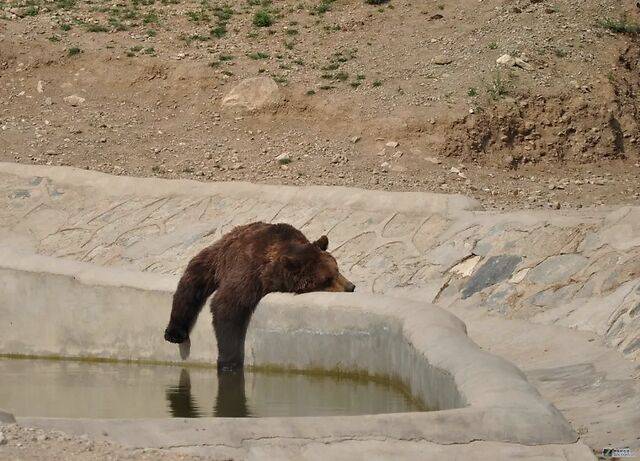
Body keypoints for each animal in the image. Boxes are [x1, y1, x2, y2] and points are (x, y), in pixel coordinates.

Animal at [165, 222, 356, 370]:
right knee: (191, 283)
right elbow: (227, 306)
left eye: (337, 270)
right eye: (327, 279)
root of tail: (234, 231)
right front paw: (228, 362)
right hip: (215, 260)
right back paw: (174, 333)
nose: (351, 287)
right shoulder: (249, 271)